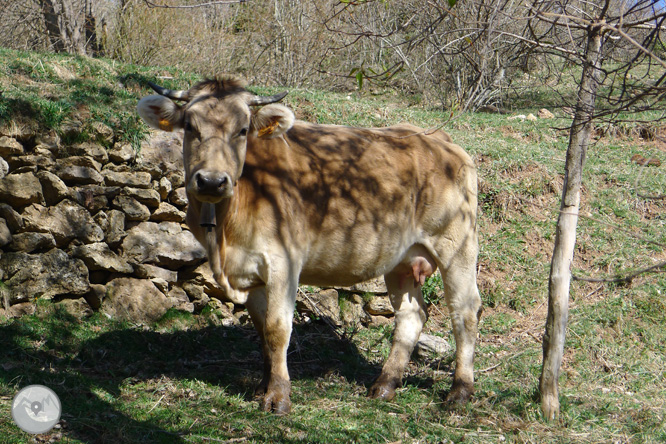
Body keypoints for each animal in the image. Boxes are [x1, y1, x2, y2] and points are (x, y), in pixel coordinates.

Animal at [136, 78, 478, 414]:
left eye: (243, 129)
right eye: (189, 126)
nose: (211, 181)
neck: (225, 233)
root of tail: (436, 137)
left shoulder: (283, 262)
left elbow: (277, 329)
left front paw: (278, 396)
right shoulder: (253, 271)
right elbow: (262, 330)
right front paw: (262, 386)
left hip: (456, 246)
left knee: (465, 312)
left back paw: (460, 393)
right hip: (402, 260)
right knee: (411, 314)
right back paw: (385, 386)